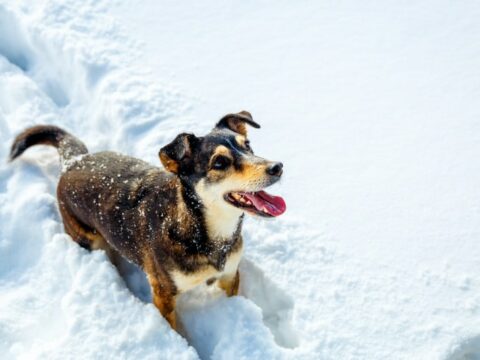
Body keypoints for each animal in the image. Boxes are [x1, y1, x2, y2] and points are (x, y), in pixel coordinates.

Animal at [9, 111, 284, 330]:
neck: (201, 230)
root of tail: (74, 161)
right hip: (86, 236)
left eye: (248, 145)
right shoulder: (164, 295)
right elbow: (176, 331)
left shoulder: (230, 276)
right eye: (220, 162)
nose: (277, 166)